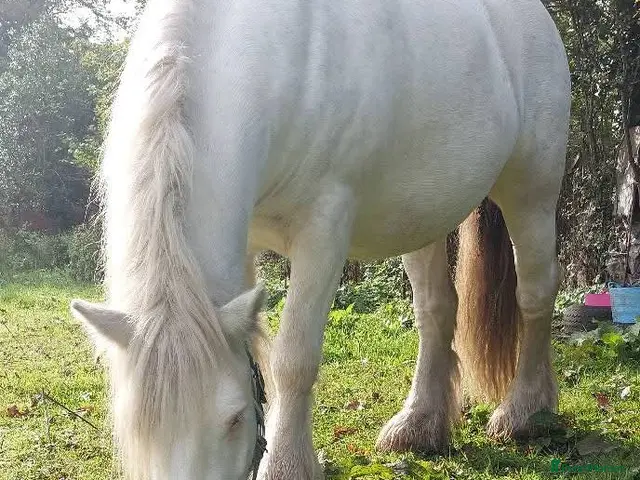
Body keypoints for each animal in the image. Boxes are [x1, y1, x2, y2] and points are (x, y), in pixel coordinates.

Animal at [69, 0, 570, 478]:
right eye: (139, 430)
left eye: (233, 418)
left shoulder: (323, 232)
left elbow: (293, 360)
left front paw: (286, 466)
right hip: (422, 214)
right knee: (436, 308)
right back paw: (419, 424)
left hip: (532, 192)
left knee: (535, 292)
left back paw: (525, 411)